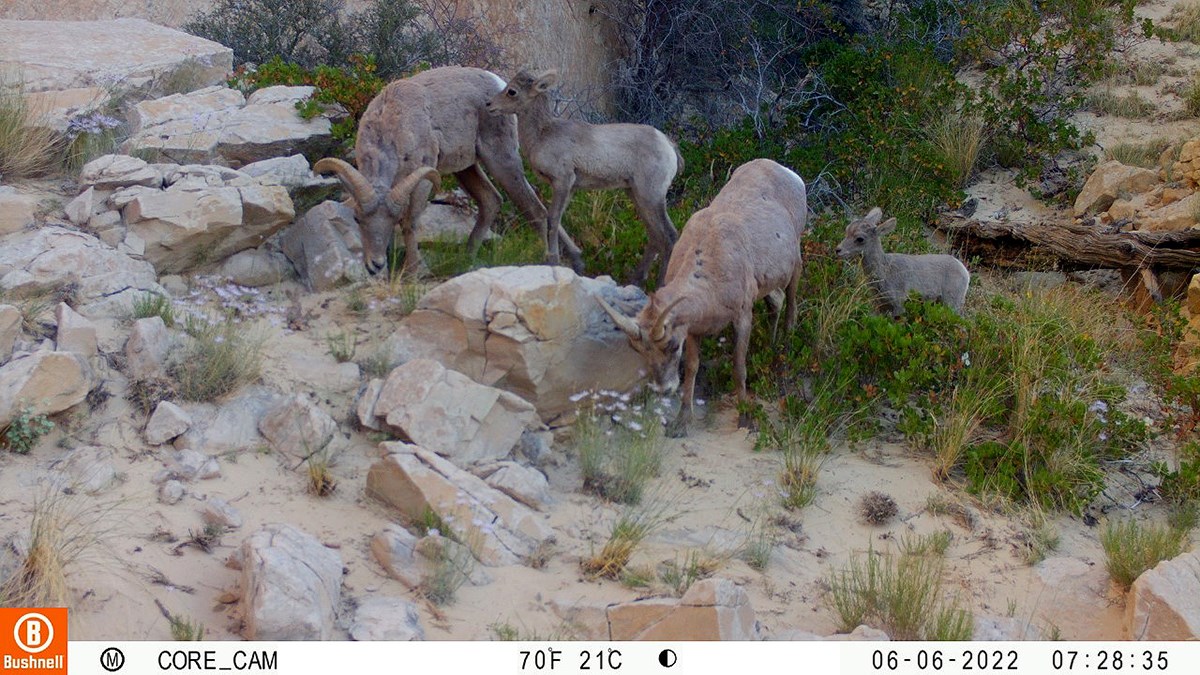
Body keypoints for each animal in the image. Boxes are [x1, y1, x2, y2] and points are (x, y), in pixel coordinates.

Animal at [316, 63, 583, 273]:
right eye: (357, 218)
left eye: (392, 219)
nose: (376, 265)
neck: (390, 127)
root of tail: (495, 81)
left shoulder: (423, 177)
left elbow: (410, 222)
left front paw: (414, 271)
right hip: (466, 168)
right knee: (492, 201)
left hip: (500, 159)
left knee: (534, 209)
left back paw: (554, 263)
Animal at [482, 69, 681, 284]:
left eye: (512, 91)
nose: (489, 105)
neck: (542, 135)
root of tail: (669, 146)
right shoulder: (569, 188)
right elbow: (556, 219)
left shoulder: (562, 181)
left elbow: (552, 219)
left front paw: (553, 261)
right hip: (636, 194)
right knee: (655, 236)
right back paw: (635, 280)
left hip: (651, 196)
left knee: (669, 237)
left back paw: (661, 283)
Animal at [597, 156, 806, 437]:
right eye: (639, 350)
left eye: (672, 346)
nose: (664, 389)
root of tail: (792, 175)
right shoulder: (693, 328)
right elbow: (692, 368)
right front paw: (680, 423)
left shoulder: (742, 314)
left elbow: (739, 367)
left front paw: (746, 420)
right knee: (776, 301)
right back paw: (772, 346)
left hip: (796, 258)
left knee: (792, 299)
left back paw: (787, 344)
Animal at [835, 207, 974, 314]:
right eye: (846, 230)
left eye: (860, 238)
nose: (838, 250)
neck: (884, 272)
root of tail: (964, 271)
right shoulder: (880, 305)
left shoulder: (899, 304)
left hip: (952, 302)